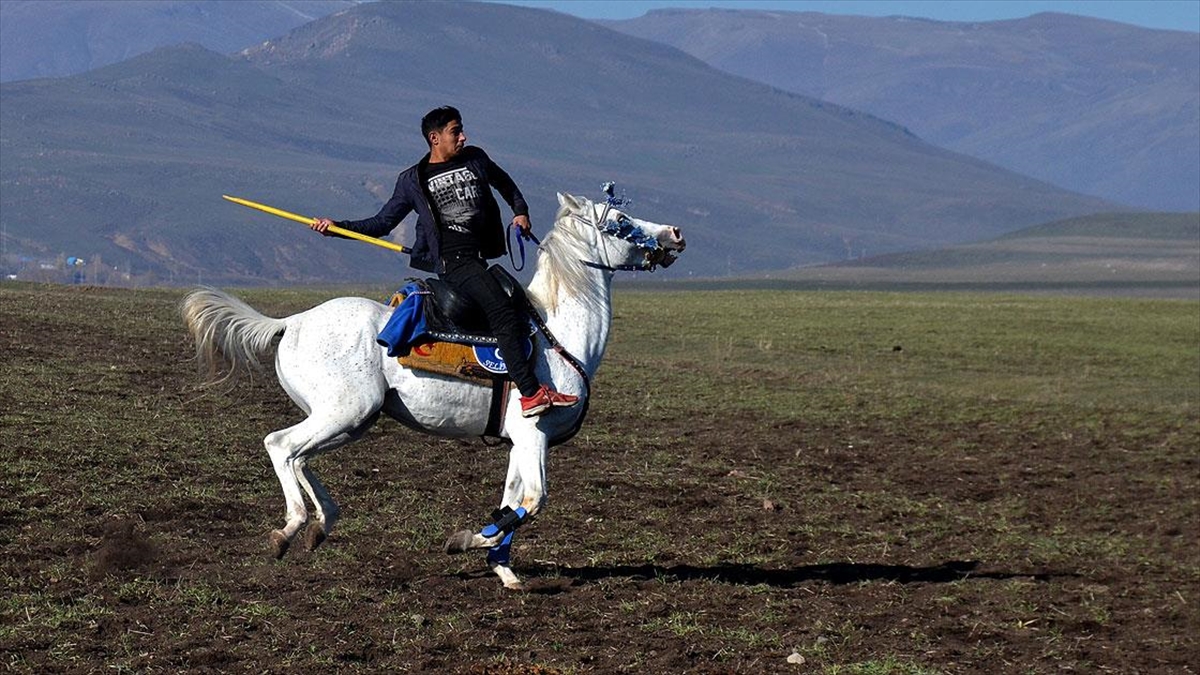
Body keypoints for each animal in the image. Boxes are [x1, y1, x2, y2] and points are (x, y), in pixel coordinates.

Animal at [177, 192, 686, 586]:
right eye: (620, 222)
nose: (675, 234)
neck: (556, 331)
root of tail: (292, 321)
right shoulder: (533, 434)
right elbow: (532, 500)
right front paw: (467, 541)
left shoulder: (519, 441)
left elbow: (510, 500)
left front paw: (503, 569)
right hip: (344, 412)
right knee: (280, 445)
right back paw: (291, 529)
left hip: (351, 420)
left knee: (300, 457)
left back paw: (322, 525)